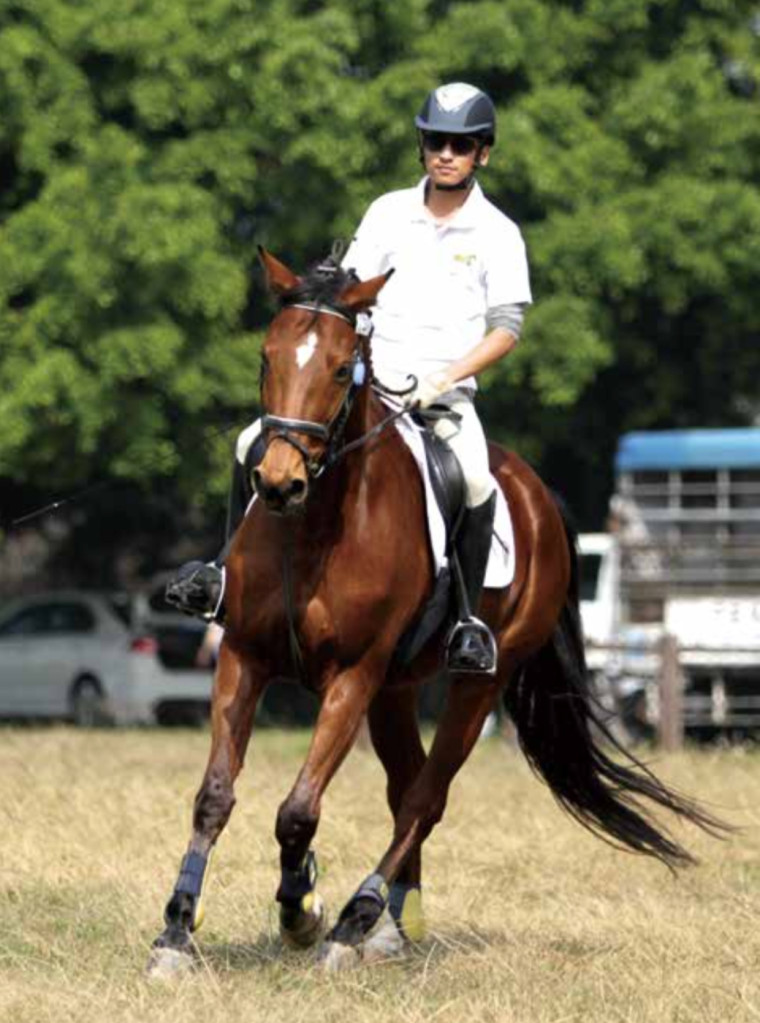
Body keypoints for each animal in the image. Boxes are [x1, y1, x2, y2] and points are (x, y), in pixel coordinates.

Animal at [147, 249, 720, 973]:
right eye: (267, 355)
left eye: (342, 366)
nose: (279, 484)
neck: (315, 528)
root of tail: (539, 493)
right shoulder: (245, 656)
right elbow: (215, 795)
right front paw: (176, 930)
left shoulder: (353, 677)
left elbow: (298, 809)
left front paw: (301, 911)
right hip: (396, 690)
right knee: (405, 788)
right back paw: (391, 924)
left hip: (478, 683)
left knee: (426, 797)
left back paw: (354, 920)